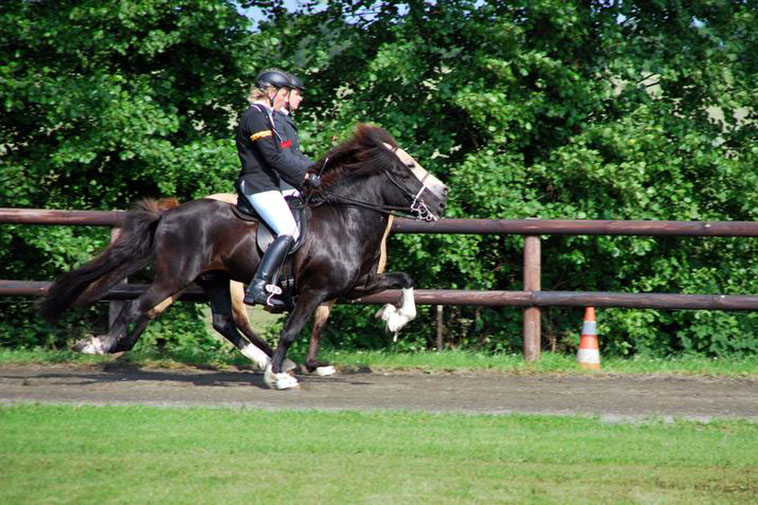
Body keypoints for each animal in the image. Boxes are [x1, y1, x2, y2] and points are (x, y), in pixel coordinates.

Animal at [41, 123, 448, 390]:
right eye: (408, 170)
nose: (443, 198)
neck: (345, 220)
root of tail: (169, 215)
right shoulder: (315, 291)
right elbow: (292, 330)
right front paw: (280, 375)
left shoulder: (354, 286)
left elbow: (404, 281)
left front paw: (394, 318)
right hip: (175, 277)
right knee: (140, 306)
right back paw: (97, 344)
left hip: (214, 278)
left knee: (221, 321)